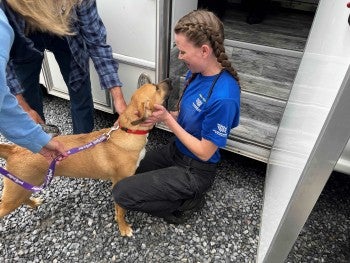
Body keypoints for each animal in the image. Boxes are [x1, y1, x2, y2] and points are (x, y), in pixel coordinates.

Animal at [0, 80, 170, 237]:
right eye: (156, 88)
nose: (169, 80)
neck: (129, 131)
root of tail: (14, 150)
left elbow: (118, 210)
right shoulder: (119, 182)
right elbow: (120, 211)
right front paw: (123, 228)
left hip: (24, 187)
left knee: (24, 198)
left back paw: (34, 202)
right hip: (14, 193)